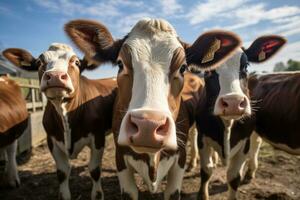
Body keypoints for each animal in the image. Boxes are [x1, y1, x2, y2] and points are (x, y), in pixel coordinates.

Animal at [2, 44, 117, 200]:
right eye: (39, 62)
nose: (56, 76)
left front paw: (97, 195)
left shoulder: (98, 137)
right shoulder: (52, 140)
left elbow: (94, 170)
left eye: (76, 62)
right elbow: (62, 172)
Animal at [193, 35, 288, 199]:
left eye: (245, 66)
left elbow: (234, 177)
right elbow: (206, 171)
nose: (233, 102)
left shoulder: (245, 141)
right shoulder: (202, 137)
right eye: (208, 70)